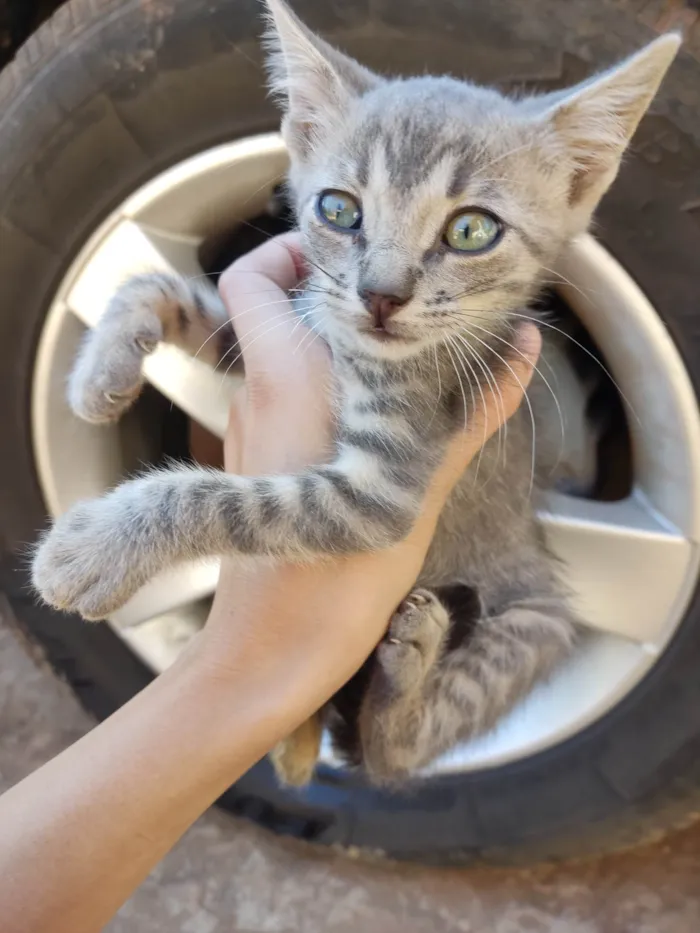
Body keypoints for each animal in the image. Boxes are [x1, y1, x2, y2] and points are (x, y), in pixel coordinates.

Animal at [31, 0, 680, 788]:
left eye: (472, 229)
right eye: (339, 211)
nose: (380, 295)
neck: (355, 348)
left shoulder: (381, 492)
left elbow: (220, 496)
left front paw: (94, 547)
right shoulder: (287, 318)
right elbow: (165, 289)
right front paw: (99, 373)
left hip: (535, 622)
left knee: (388, 757)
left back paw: (407, 674)